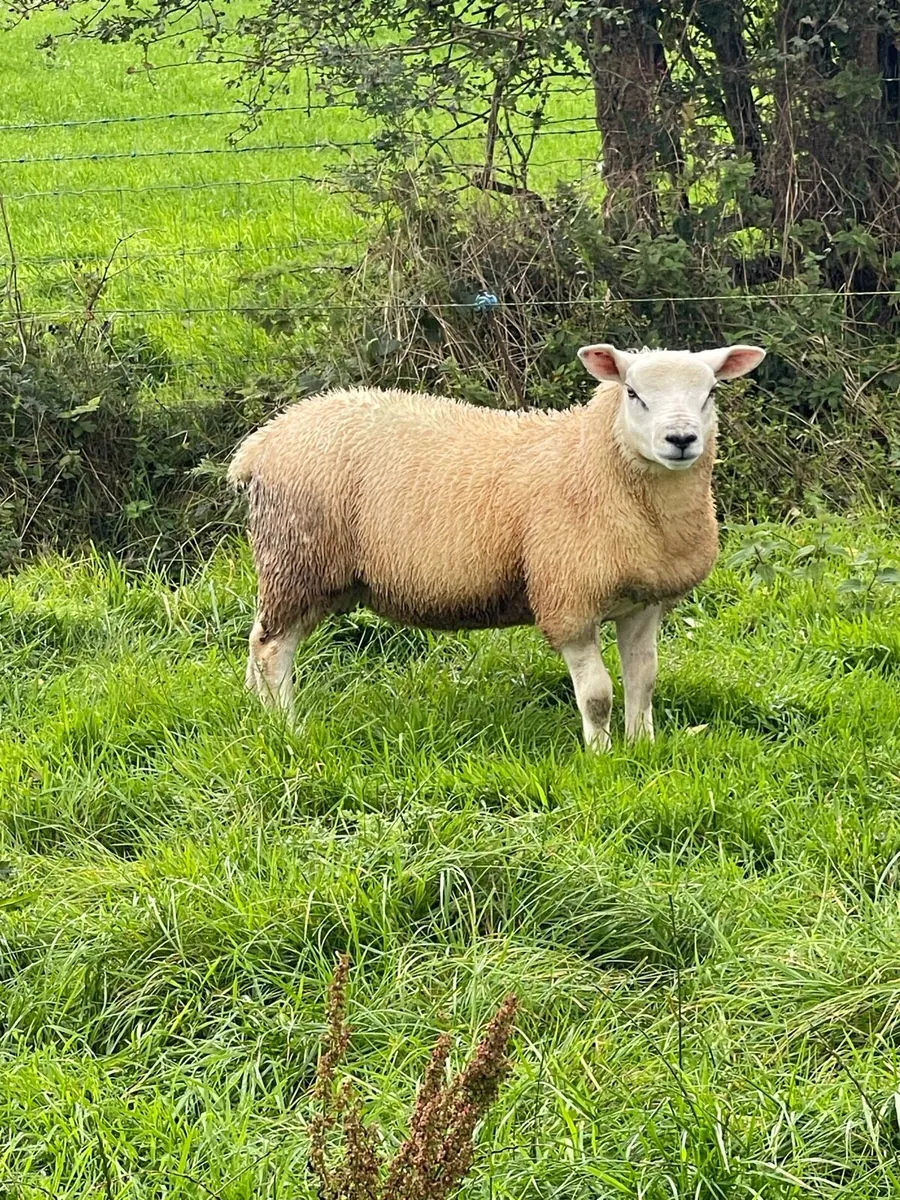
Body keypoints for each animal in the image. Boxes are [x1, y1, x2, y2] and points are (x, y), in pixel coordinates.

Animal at [227, 342, 765, 748]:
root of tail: (265, 439)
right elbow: (597, 694)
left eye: (710, 392)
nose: (681, 439)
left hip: (309, 571)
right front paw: (601, 754)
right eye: (633, 393)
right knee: (272, 650)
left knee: (259, 638)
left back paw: (257, 711)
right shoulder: (567, 599)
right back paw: (287, 726)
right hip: (299, 556)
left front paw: (643, 746)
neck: (592, 460)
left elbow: (644, 679)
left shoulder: (643, 601)